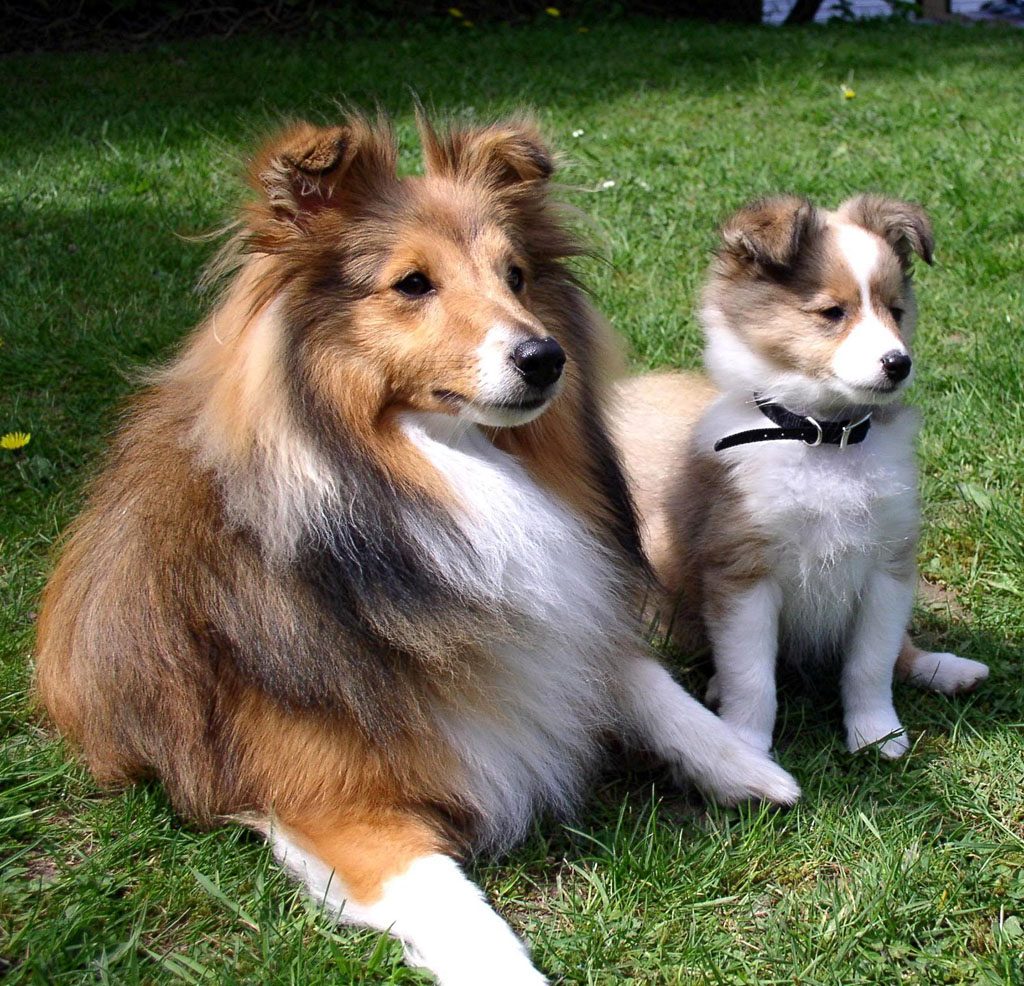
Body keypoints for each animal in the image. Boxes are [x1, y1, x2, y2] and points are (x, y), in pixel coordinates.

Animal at [34, 115, 800, 986]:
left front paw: (746, 763)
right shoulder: (332, 801)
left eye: (516, 275)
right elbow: (450, 901)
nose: (546, 358)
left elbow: (635, 675)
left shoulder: (559, 619)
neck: (432, 486)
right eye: (411, 283)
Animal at [612, 195, 989, 761]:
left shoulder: (888, 566)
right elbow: (752, 677)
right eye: (833, 313)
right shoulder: (743, 572)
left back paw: (947, 669)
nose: (899, 364)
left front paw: (877, 735)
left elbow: (871, 664)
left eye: (896, 312)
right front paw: (746, 742)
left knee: (902, 651)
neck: (825, 438)